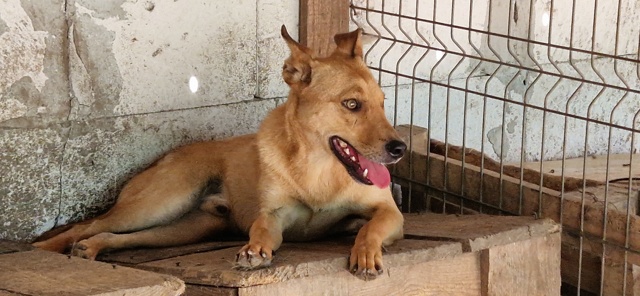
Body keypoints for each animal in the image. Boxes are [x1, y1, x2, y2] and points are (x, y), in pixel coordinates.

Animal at [32, 26, 404, 280]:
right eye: (352, 104)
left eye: (383, 102)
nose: (399, 148)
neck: (318, 170)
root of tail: (166, 156)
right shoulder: (274, 214)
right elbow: (261, 229)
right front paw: (254, 250)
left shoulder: (389, 212)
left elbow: (369, 227)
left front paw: (366, 253)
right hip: (159, 203)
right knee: (91, 224)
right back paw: (41, 251)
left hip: (182, 228)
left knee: (117, 236)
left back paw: (91, 247)